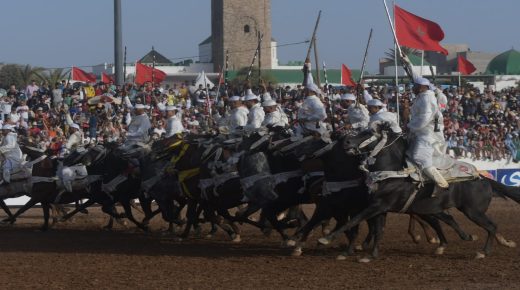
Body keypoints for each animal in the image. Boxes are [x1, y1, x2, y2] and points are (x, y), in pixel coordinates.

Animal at [316, 121, 520, 260]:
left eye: (369, 132)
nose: (346, 141)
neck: (393, 173)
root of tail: (484, 179)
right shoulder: (379, 207)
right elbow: (378, 229)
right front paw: (371, 255)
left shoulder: (378, 205)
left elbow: (355, 221)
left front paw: (327, 239)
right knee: (464, 222)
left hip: (473, 211)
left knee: (491, 226)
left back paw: (483, 252)